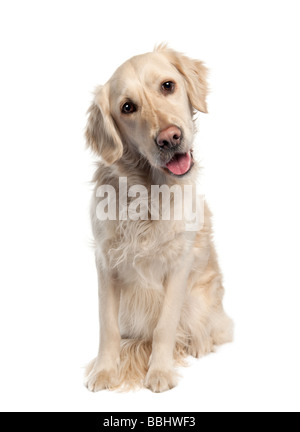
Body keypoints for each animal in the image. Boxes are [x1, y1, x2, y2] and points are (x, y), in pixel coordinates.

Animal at [85, 45, 234, 394]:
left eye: (168, 86)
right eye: (127, 107)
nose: (170, 138)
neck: (148, 192)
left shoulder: (179, 263)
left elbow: (165, 325)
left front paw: (160, 371)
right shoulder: (105, 261)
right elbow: (107, 326)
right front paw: (104, 371)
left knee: (212, 328)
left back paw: (200, 343)